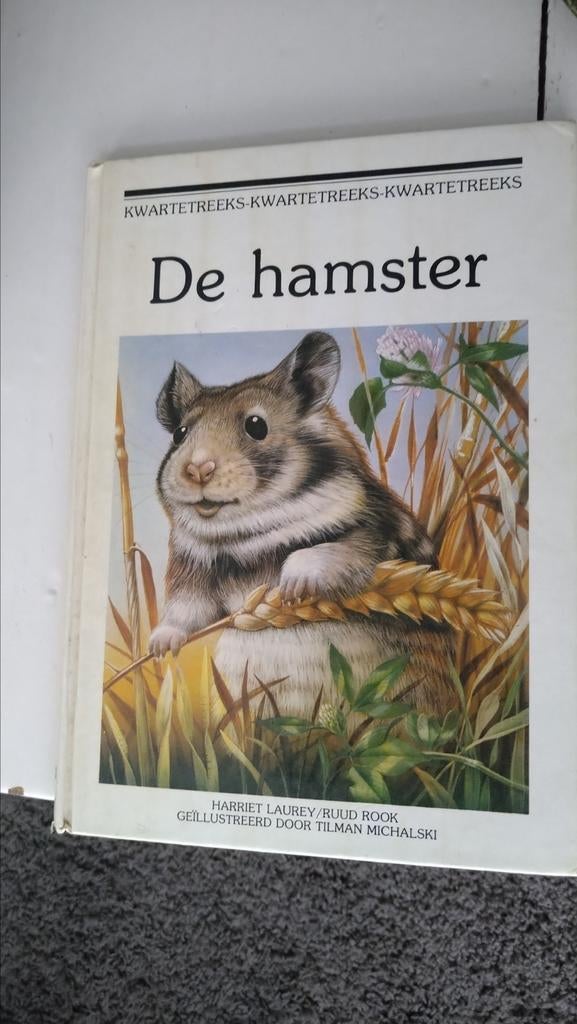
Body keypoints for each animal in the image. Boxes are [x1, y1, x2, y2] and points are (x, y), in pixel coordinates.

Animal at [150, 332, 454, 718]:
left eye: (256, 425)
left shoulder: (373, 538)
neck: (244, 534)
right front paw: (158, 646)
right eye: (179, 433)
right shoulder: (193, 573)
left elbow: (325, 553)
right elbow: (184, 612)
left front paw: (292, 588)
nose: (197, 469)